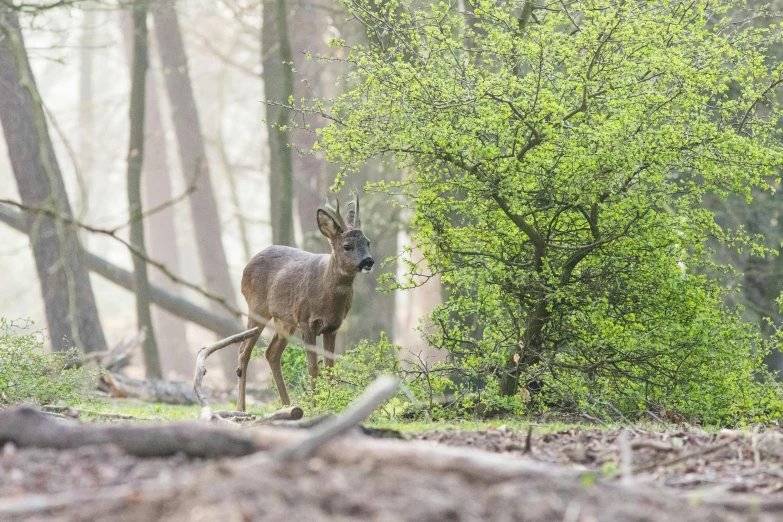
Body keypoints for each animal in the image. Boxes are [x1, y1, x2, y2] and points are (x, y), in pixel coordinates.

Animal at [236, 192, 374, 410]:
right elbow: (313, 368)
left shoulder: (333, 327)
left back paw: (287, 404)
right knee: (243, 351)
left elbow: (330, 368)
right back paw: (241, 407)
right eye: (347, 246)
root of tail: (245, 267)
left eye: (368, 242)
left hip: (284, 320)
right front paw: (316, 405)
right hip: (257, 308)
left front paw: (331, 403)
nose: (368, 261)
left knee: (271, 353)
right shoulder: (307, 321)